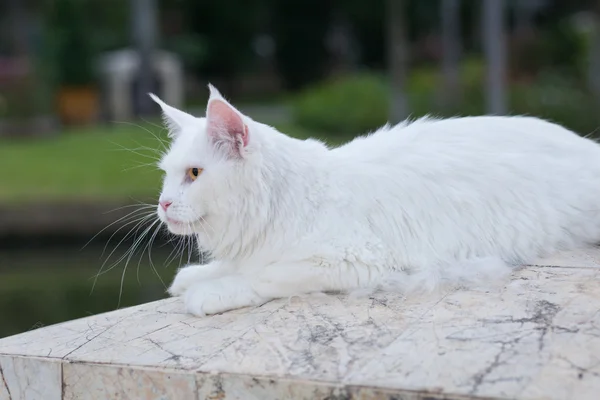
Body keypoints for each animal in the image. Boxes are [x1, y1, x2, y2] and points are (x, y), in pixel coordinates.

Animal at [149, 86, 600, 318]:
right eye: (166, 175)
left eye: (194, 174)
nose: (164, 205)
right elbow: (238, 266)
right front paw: (199, 276)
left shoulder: (354, 259)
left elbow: (265, 275)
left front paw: (213, 290)